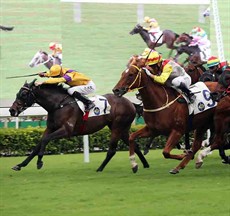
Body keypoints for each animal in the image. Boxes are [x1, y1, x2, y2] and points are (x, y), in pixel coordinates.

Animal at [9, 79, 149, 172]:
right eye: (17, 94)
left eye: (23, 94)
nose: (11, 110)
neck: (59, 105)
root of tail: (130, 103)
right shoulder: (50, 128)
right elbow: (38, 144)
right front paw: (20, 165)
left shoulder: (66, 130)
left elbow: (45, 140)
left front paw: (39, 162)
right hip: (122, 128)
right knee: (134, 144)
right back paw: (145, 165)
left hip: (117, 127)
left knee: (112, 150)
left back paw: (100, 168)